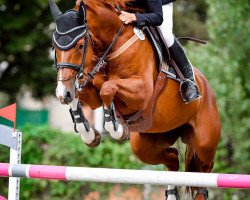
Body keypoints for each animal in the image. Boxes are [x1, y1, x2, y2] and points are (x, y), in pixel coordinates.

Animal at [48, 0, 221, 199]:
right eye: (54, 47)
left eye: (80, 46)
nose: (63, 93)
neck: (111, 47)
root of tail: (207, 86)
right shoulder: (91, 93)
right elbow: (82, 94)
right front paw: (89, 135)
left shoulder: (142, 92)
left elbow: (108, 88)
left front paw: (115, 128)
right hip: (146, 144)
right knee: (172, 159)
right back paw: (171, 193)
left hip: (204, 143)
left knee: (203, 172)